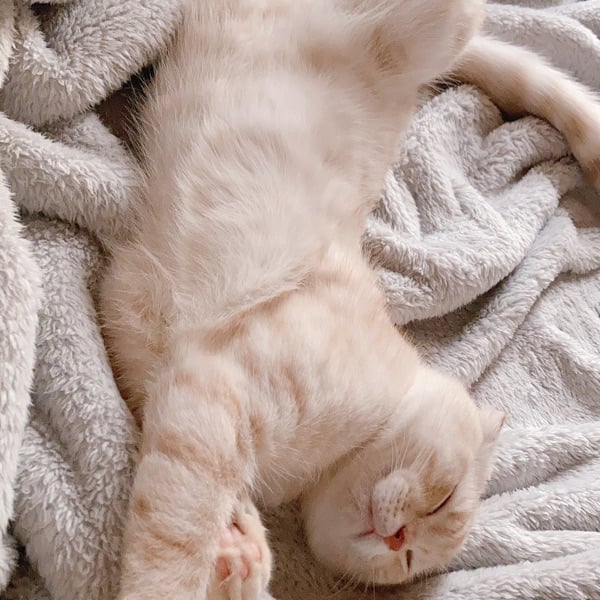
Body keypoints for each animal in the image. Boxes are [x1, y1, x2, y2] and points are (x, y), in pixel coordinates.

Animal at [99, 0, 600, 598]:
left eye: (409, 562)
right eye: (445, 499)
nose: (398, 538)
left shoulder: (168, 386)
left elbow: (213, 512)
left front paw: (242, 556)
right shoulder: (211, 387)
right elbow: (175, 536)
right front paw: (181, 575)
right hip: (427, 32)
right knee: (467, 17)